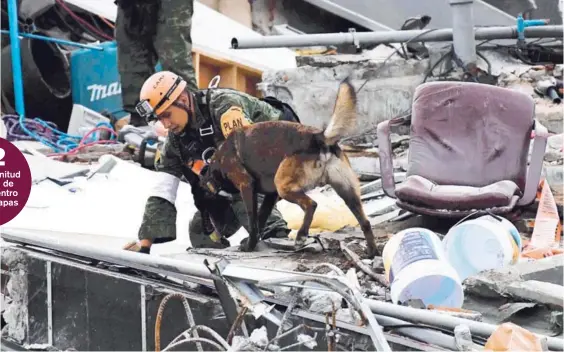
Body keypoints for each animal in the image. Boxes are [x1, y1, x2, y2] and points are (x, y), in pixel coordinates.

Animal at [200, 78, 376, 258]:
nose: (210, 232)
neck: (218, 163)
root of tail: (318, 137)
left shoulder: (246, 186)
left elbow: (253, 220)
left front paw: (249, 245)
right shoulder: (270, 196)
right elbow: (261, 219)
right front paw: (252, 242)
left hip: (284, 186)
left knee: (312, 204)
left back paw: (301, 236)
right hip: (347, 192)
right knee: (366, 222)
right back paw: (372, 252)